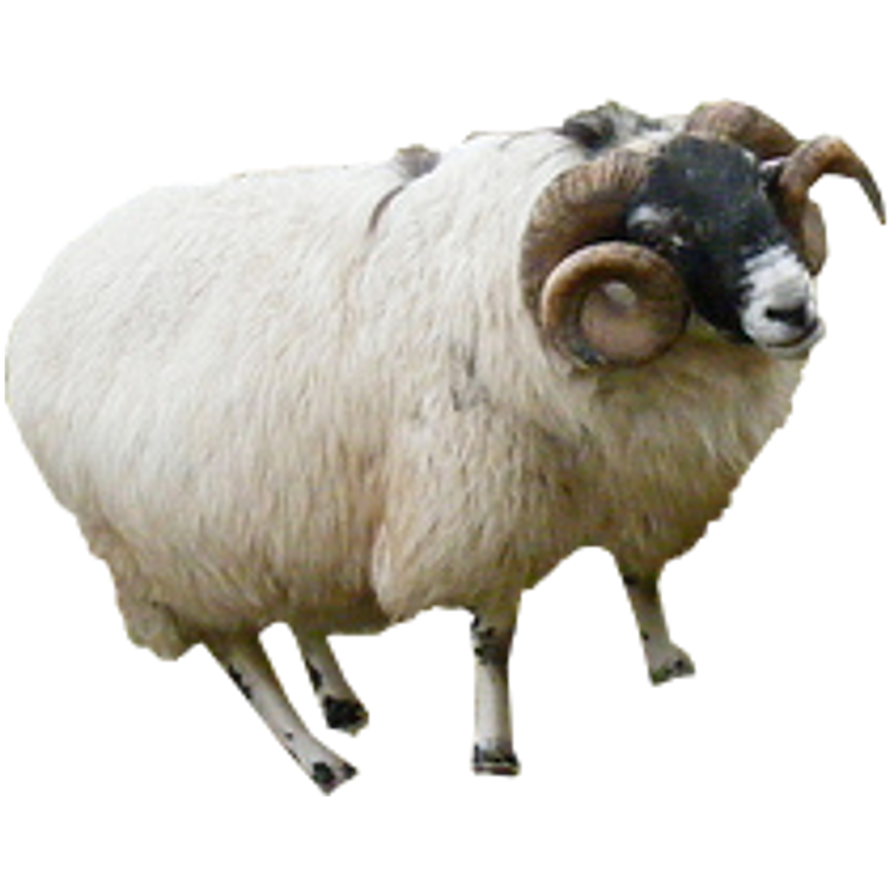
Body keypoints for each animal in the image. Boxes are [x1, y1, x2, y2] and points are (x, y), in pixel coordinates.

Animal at [5, 97, 888, 796]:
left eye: (759, 185)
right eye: (659, 234)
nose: (793, 309)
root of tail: (53, 277)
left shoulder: (631, 469)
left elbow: (641, 574)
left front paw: (670, 662)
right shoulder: (484, 496)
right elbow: (493, 639)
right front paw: (495, 752)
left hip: (276, 505)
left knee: (295, 606)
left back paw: (341, 702)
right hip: (165, 545)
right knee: (238, 652)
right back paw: (319, 758)